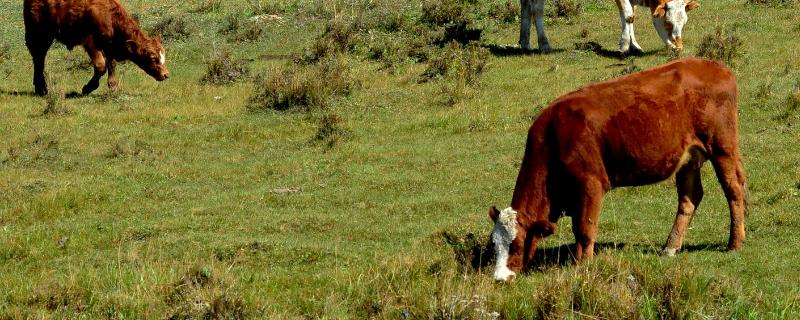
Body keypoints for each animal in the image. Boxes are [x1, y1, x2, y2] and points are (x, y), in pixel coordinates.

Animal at [23, 0, 169, 95]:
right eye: (152, 58)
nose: (166, 74)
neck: (110, 15)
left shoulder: (109, 46)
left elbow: (111, 64)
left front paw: (113, 86)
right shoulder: (91, 43)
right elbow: (101, 65)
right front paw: (88, 88)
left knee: (39, 58)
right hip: (38, 33)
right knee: (38, 58)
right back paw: (41, 89)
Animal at [488, 58, 752, 282]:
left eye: (517, 245)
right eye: (494, 245)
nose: (499, 278)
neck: (554, 137)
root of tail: (715, 66)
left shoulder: (591, 184)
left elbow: (585, 229)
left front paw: (583, 265)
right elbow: (578, 228)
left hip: (722, 147)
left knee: (733, 188)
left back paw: (735, 242)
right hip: (688, 158)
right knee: (690, 198)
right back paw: (670, 247)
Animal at [520, 0, 700, 53]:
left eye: (684, 22)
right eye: (668, 22)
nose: (679, 47)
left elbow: (630, 16)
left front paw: (634, 45)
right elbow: (628, 14)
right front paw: (624, 45)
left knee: (526, 5)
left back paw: (524, 42)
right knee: (537, 8)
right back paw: (544, 44)